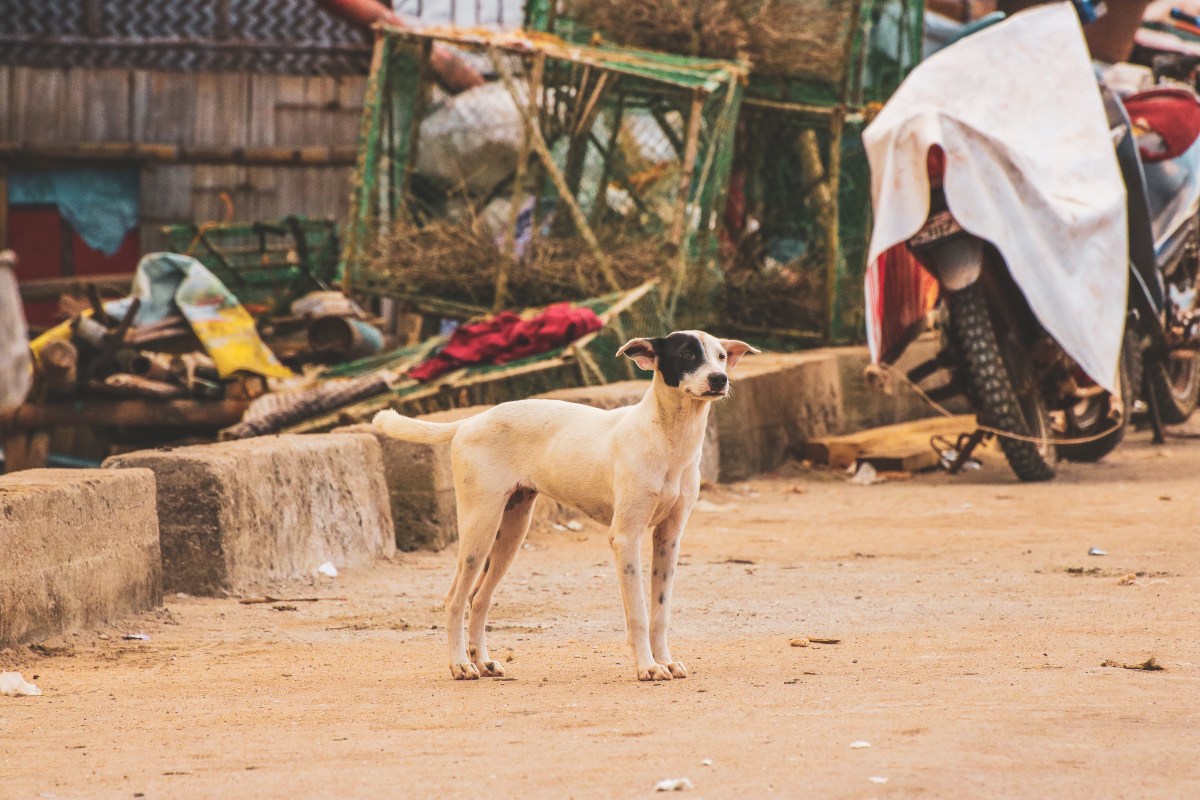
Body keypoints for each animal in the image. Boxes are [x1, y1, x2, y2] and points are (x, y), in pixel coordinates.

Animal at [374, 331, 753, 681]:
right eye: (687, 354)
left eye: (721, 357)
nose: (720, 379)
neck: (668, 439)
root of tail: (469, 422)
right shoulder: (625, 537)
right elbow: (639, 613)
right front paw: (647, 666)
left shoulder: (669, 539)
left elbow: (660, 612)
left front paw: (666, 661)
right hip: (479, 528)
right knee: (455, 598)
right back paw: (460, 665)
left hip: (511, 532)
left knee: (478, 598)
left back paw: (482, 661)